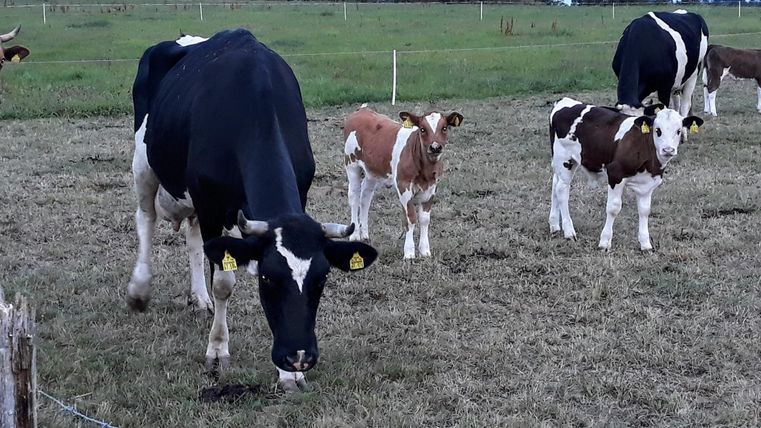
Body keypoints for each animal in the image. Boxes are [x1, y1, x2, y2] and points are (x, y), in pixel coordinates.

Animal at [127, 29, 378, 392]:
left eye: (322, 279)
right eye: (267, 278)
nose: (299, 356)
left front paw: (290, 375)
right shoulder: (210, 202)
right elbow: (223, 282)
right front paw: (217, 351)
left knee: (191, 237)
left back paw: (198, 297)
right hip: (145, 162)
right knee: (146, 218)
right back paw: (140, 290)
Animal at [343, 105, 463, 259]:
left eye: (444, 128)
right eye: (422, 129)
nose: (435, 147)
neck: (425, 171)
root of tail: (363, 109)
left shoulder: (431, 188)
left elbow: (425, 220)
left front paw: (425, 251)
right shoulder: (403, 186)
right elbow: (410, 218)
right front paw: (409, 252)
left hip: (372, 171)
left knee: (365, 198)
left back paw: (365, 235)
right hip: (352, 165)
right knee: (354, 197)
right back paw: (355, 235)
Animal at [548, 97, 703, 251]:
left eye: (678, 131)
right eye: (657, 130)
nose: (668, 150)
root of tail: (564, 100)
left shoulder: (648, 183)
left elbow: (644, 210)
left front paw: (645, 244)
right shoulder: (615, 174)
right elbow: (613, 208)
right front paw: (604, 242)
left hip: (563, 162)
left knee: (555, 184)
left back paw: (554, 225)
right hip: (564, 159)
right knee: (561, 190)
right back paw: (569, 232)